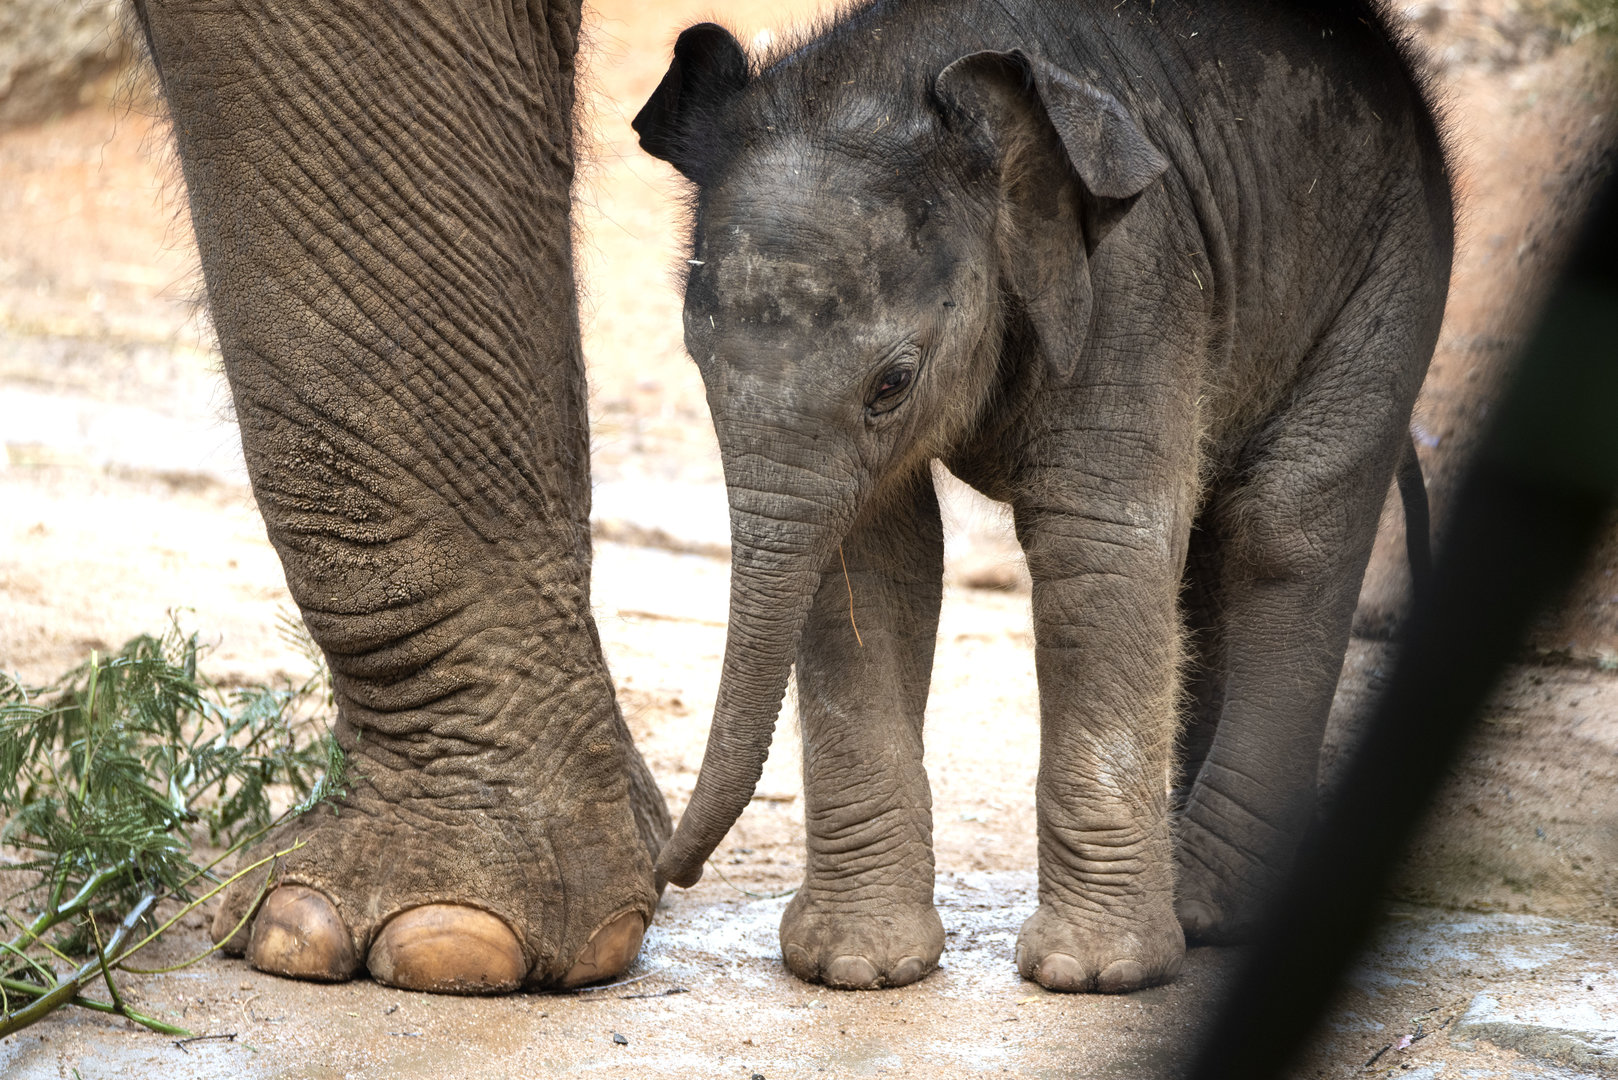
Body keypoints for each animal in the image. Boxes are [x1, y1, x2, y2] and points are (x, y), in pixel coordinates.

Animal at [633, 0, 1453, 993]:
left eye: (891, 383)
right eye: (695, 359)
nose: (663, 878)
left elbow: (1092, 546)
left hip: (1392, 264)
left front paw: (1091, 975)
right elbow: (871, 559)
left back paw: (1206, 909)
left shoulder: (1136, 277)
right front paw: (856, 968)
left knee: (1283, 527)